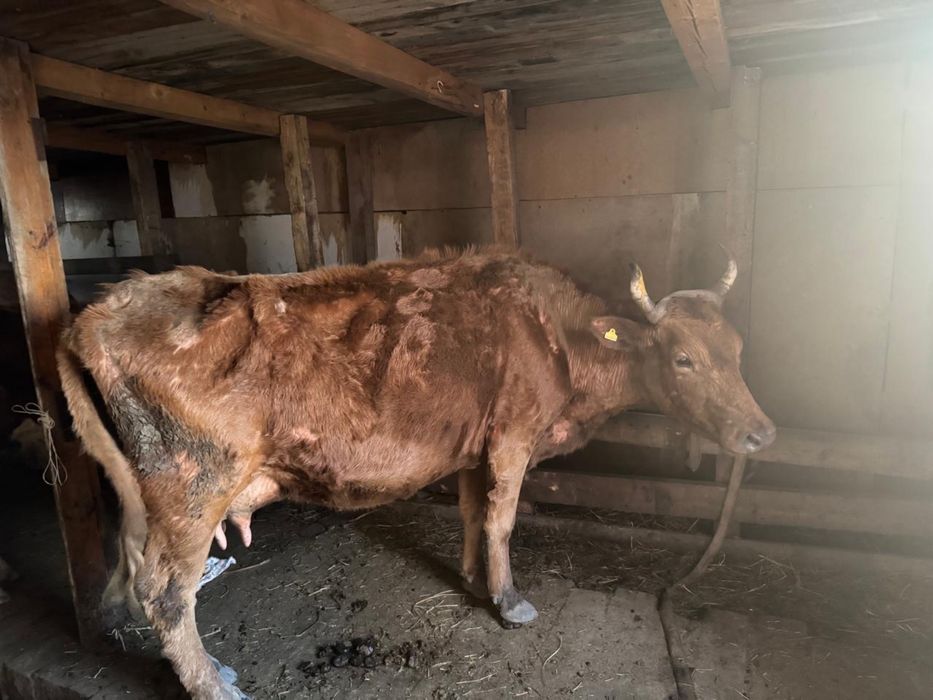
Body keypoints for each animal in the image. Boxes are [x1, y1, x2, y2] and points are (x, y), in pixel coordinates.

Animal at [57, 248, 775, 700]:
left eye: (739, 349)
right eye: (682, 358)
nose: (760, 433)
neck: (556, 336)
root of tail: (103, 308)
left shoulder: (475, 445)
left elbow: (472, 513)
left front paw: (471, 578)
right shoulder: (513, 436)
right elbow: (503, 520)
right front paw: (509, 601)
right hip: (192, 485)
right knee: (165, 592)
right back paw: (213, 683)